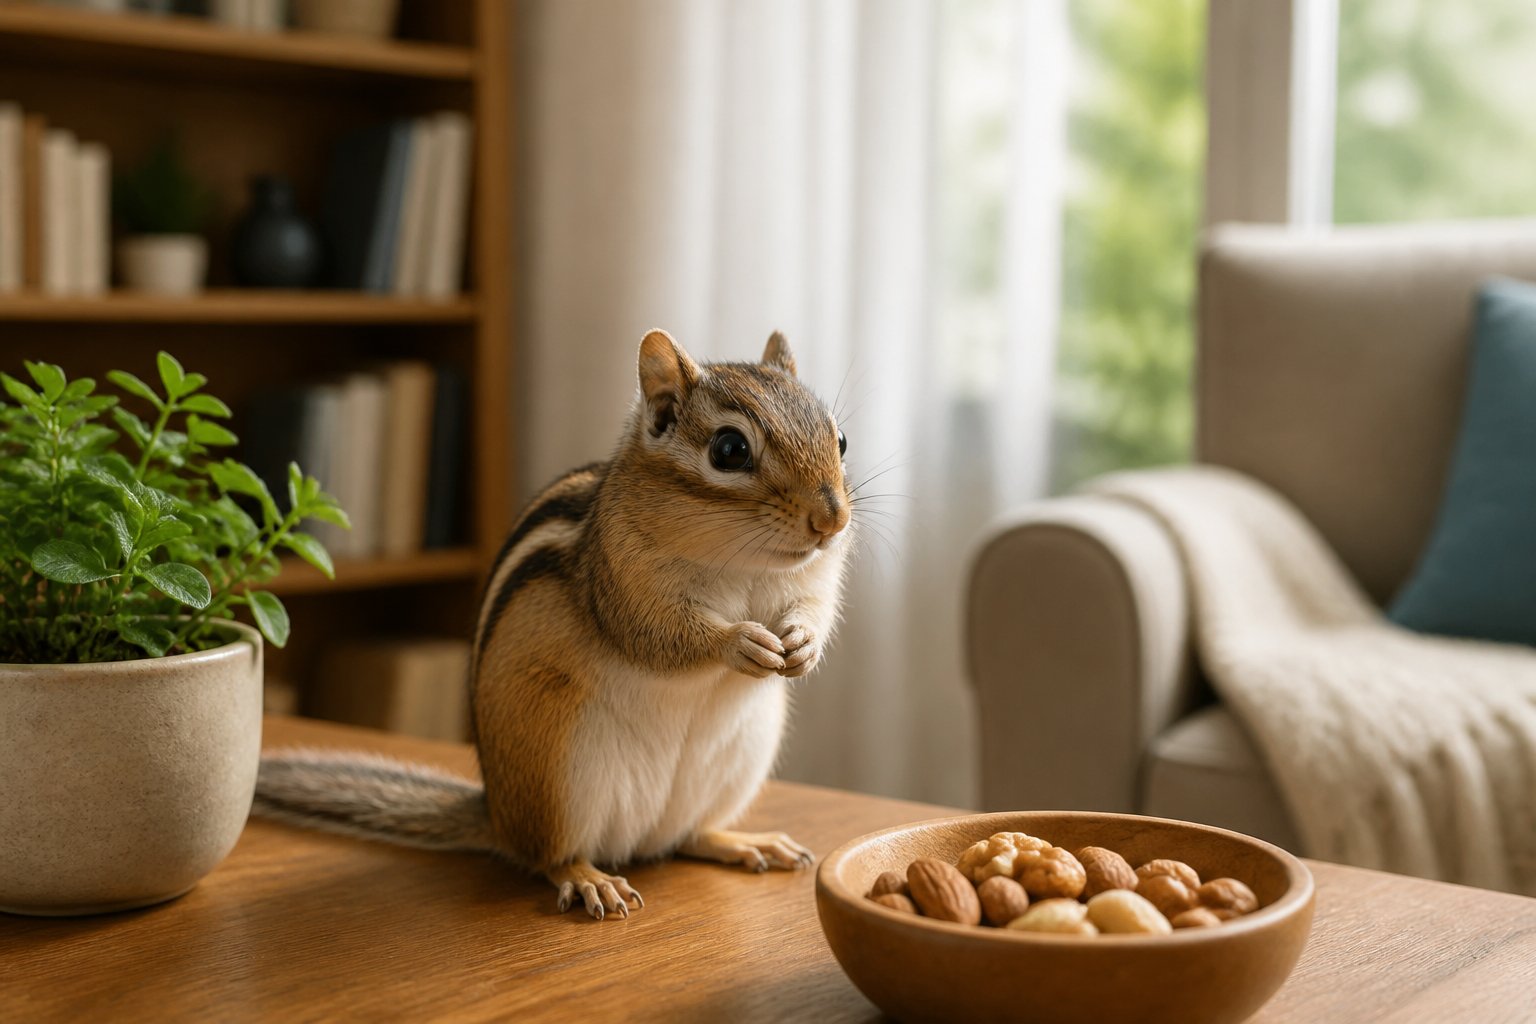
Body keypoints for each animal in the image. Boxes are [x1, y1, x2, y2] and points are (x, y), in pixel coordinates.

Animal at [254, 329, 853, 921]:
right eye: (730, 450)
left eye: (841, 439)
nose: (833, 520)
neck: (747, 563)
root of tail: (498, 818)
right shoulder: (622, 584)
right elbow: (663, 637)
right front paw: (740, 642)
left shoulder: (813, 580)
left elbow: (815, 610)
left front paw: (802, 645)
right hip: (557, 769)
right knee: (551, 855)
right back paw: (591, 879)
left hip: (739, 761)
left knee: (688, 836)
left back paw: (744, 842)